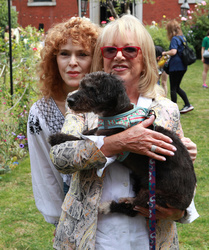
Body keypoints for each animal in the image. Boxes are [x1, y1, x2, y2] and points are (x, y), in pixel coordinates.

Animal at [48, 71, 196, 217]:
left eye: (91, 89)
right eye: (81, 86)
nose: (69, 100)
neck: (117, 113)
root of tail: (185, 204)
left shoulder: (107, 137)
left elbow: (82, 139)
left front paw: (58, 138)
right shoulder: (99, 131)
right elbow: (85, 133)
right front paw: (69, 135)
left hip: (156, 196)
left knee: (133, 207)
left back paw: (106, 207)